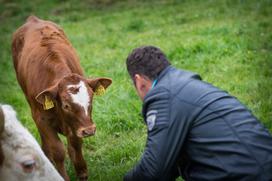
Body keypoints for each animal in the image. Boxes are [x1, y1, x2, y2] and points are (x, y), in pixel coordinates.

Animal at [11, 15, 111, 181]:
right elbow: (58, 150)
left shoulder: (76, 125)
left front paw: (82, 172)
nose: (89, 130)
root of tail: (33, 19)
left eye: (91, 100)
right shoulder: (42, 119)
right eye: (66, 105)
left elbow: (75, 145)